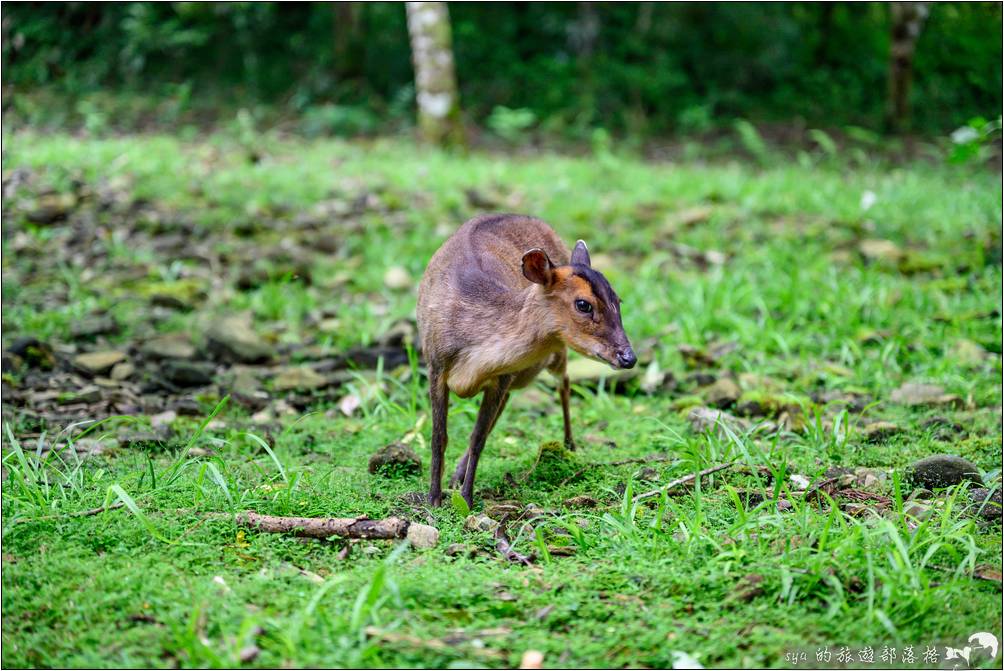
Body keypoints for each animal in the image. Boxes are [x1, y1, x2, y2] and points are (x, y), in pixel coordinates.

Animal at [415, 211, 634, 506]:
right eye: (583, 304)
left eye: (618, 301)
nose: (629, 357)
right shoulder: (435, 364)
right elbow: (439, 436)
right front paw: (434, 499)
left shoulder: (502, 376)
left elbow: (478, 438)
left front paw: (467, 498)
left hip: (555, 355)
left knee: (563, 383)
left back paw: (569, 445)